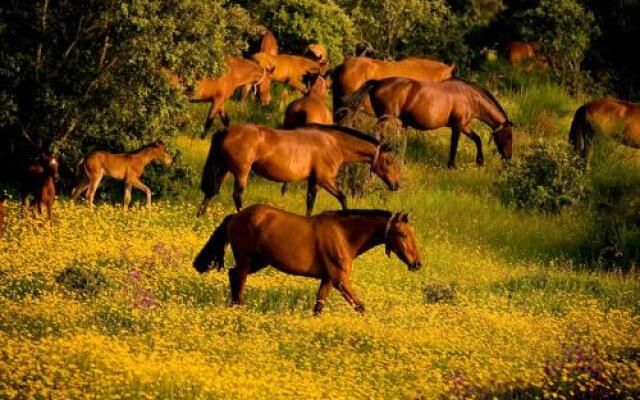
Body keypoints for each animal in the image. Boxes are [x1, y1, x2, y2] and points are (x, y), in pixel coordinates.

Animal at [192, 205, 422, 314]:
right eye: (403, 234)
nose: (417, 263)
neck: (343, 235)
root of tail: (237, 216)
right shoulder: (340, 281)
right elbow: (360, 307)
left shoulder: (328, 280)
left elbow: (318, 308)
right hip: (246, 259)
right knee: (238, 279)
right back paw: (239, 309)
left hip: (259, 261)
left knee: (233, 275)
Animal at [198, 125, 402, 219]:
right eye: (389, 161)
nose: (396, 184)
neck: (334, 143)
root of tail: (226, 131)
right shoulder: (325, 180)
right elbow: (343, 198)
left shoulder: (313, 181)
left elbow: (310, 204)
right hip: (241, 172)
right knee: (237, 195)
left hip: (224, 170)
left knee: (211, 192)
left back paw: (199, 217)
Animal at [340, 77, 516, 168]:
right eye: (509, 137)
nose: (508, 157)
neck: (469, 97)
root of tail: (379, 82)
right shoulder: (458, 126)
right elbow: (454, 145)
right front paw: (451, 166)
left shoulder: (465, 126)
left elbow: (477, 139)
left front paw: (480, 161)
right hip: (386, 117)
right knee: (377, 133)